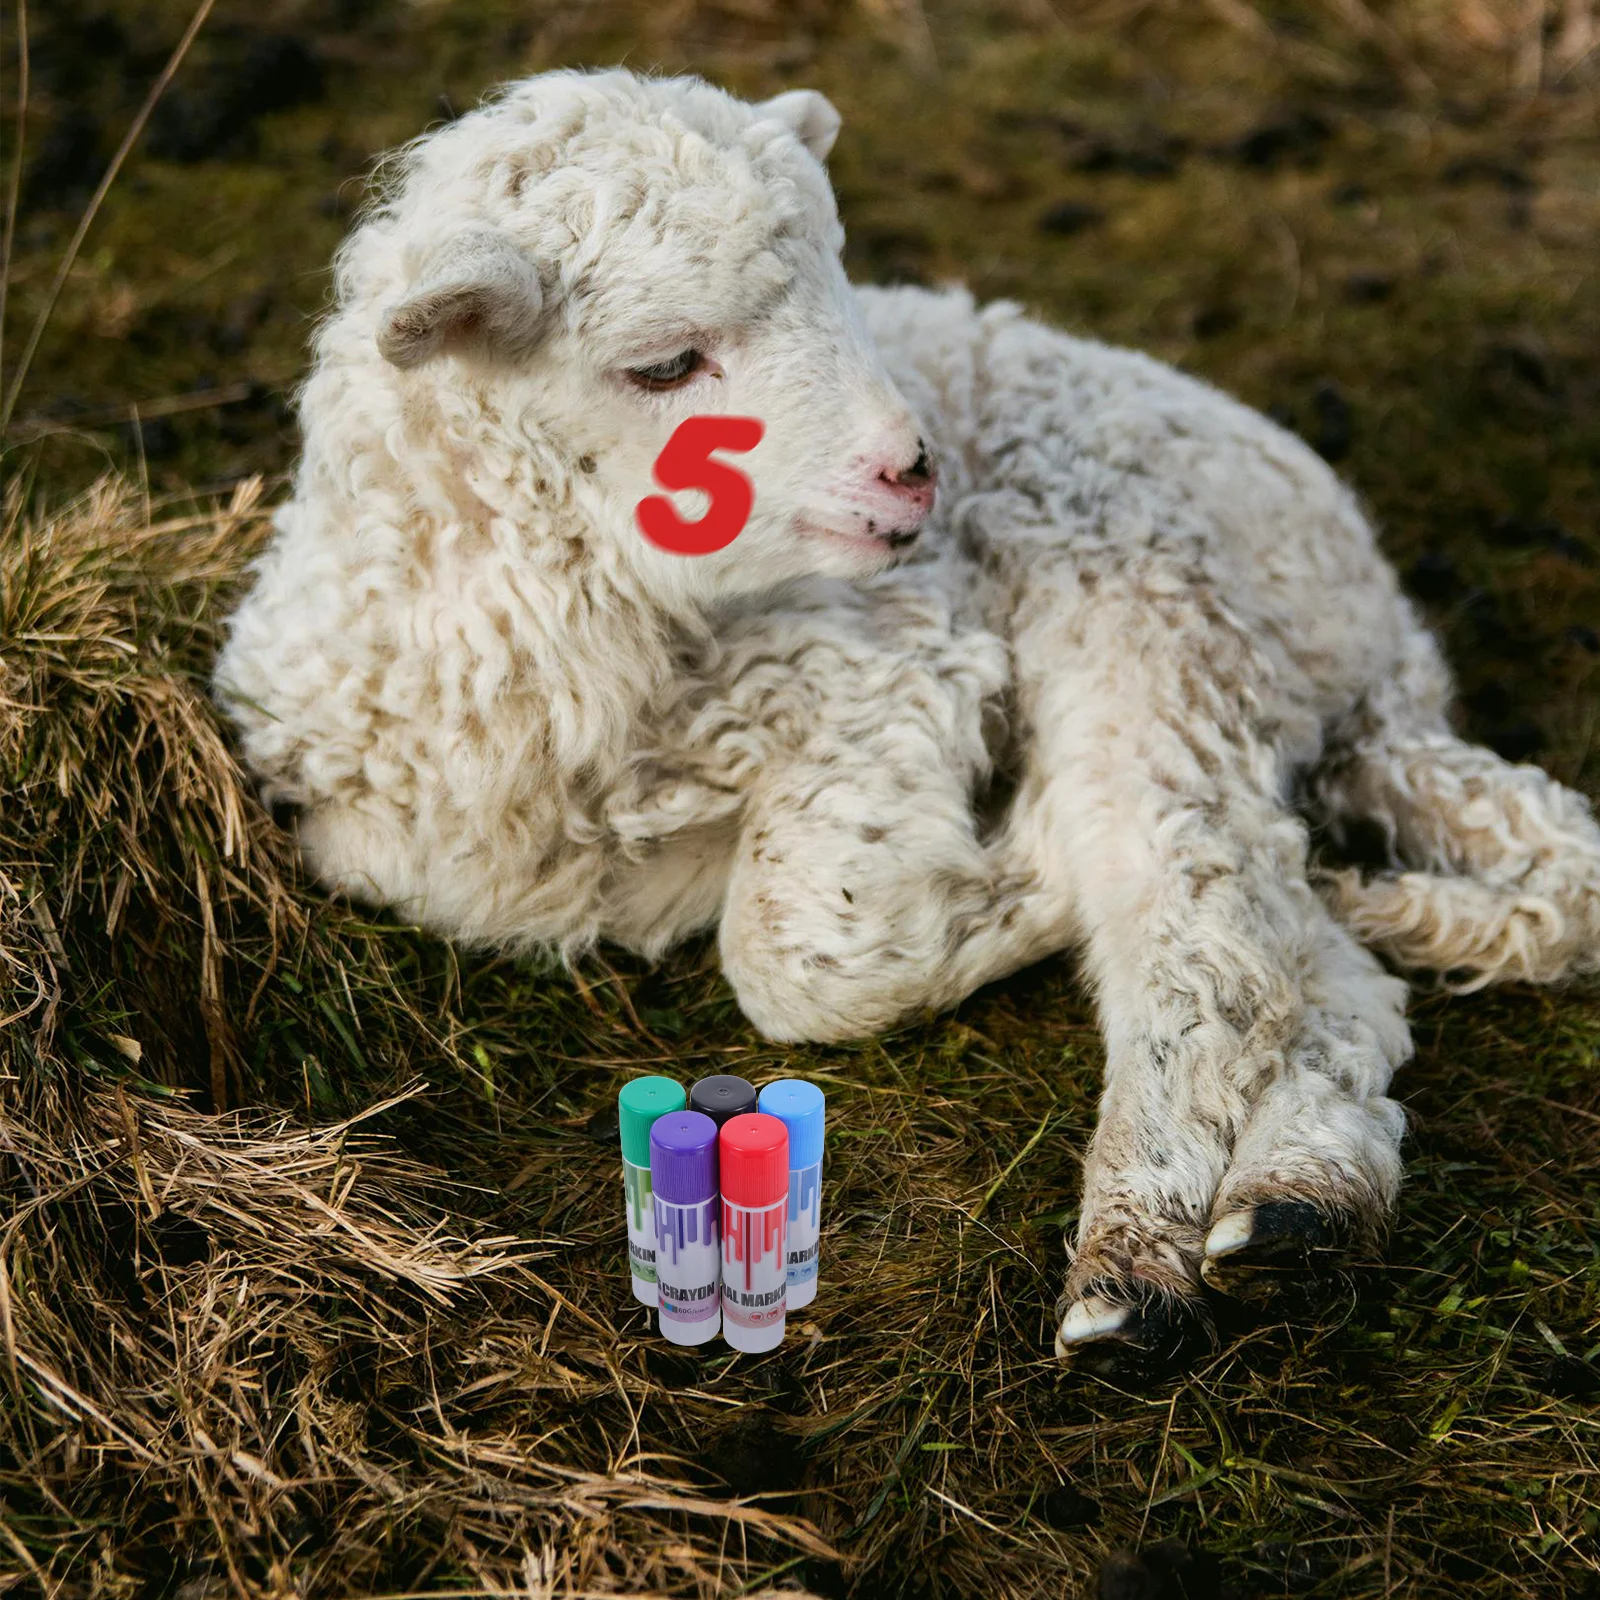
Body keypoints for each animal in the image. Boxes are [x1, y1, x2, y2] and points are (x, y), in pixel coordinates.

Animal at [214, 67, 1600, 1372]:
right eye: (662, 365)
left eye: (845, 289)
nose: (911, 469)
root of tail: (1376, 646)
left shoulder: (889, 667)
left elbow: (795, 959)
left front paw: (1021, 870)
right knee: (1315, 956)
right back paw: (1301, 1209)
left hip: (1147, 587)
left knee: (1192, 910)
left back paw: (1137, 1267)